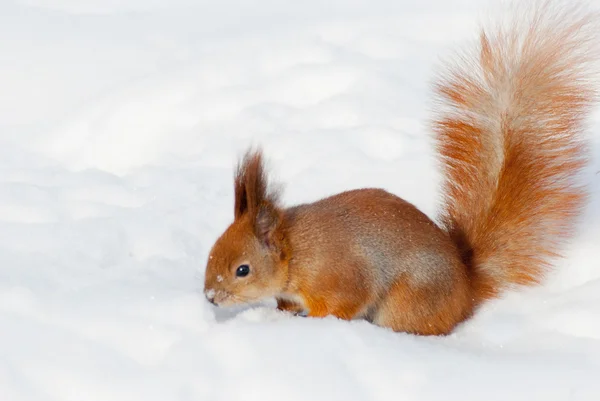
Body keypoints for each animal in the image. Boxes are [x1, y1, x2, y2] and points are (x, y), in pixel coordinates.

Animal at [204, 2, 596, 334]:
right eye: (213, 250)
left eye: (242, 270)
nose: (210, 296)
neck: (296, 251)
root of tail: (466, 292)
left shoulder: (340, 277)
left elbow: (343, 303)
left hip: (408, 301)